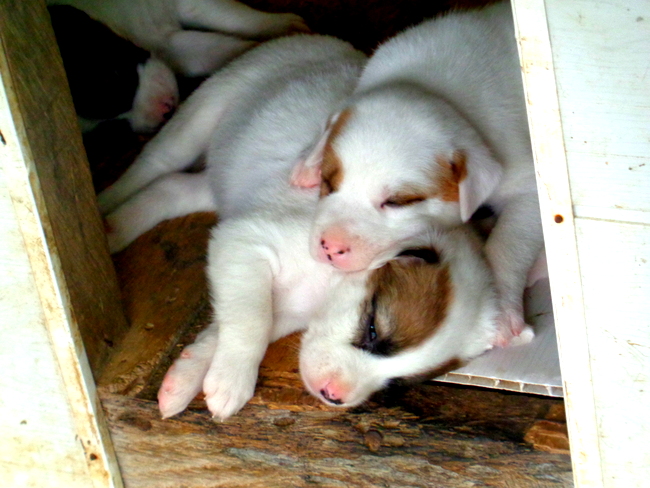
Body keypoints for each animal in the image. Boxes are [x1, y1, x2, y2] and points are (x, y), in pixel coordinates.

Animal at [98, 34, 498, 420]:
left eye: (397, 383)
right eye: (371, 328)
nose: (333, 396)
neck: (326, 287)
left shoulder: (277, 301)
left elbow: (228, 327)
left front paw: (187, 377)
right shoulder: (244, 241)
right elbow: (251, 323)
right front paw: (232, 380)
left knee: (171, 188)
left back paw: (116, 227)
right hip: (201, 114)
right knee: (154, 164)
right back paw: (101, 210)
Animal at [292, 1, 540, 348]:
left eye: (398, 202)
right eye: (329, 183)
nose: (330, 247)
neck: (435, 87)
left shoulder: (528, 187)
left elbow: (507, 244)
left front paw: (502, 312)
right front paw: (308, 159)